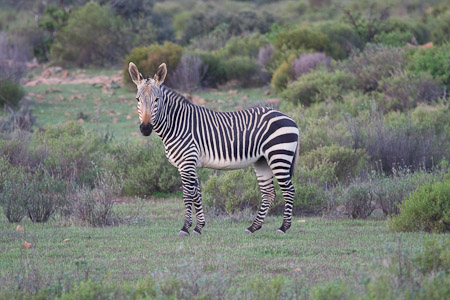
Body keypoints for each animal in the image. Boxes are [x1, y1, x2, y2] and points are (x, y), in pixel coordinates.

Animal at [128, 62, 298, 237]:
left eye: (157, 99)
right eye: (137, 99)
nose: (145, 129)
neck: (177, 124)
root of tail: (289, 118)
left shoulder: (187, 162)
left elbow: (187, 194)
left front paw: (185, 228)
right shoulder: (190, 164)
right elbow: (196, 193)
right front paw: (198, 227)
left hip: (279, 156)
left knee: (289, 190)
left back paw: (283, 227)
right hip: (262, 161)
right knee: (268, 193)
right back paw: (253, 227)